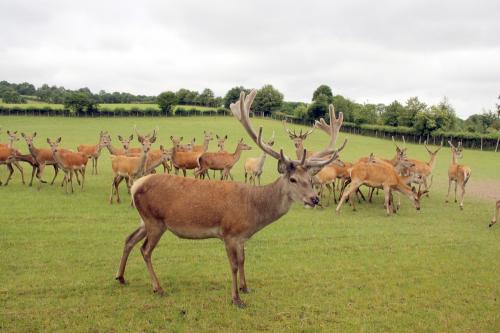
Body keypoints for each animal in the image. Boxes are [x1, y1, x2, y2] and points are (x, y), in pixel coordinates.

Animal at [115, 89, 346, 306]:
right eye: (293, 179)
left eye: (310, 177)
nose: (314, 199)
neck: (253, 212)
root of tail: (136, 185)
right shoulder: (228, 232)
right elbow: (233, 265)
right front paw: (236, 298)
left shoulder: (242, 237)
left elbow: (243, 260)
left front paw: (246, 288)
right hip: (155, 221)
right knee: (145, 250)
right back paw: (158, 288)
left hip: (145, 219)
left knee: (129, 239)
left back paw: (121, 277)